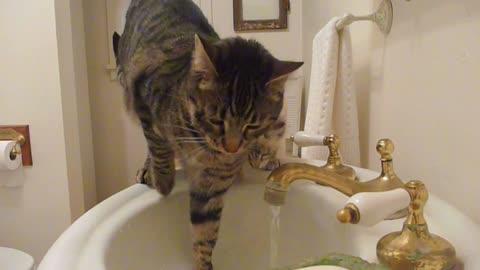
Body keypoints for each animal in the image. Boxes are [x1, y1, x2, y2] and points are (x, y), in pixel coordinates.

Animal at [114, 1, 302, 268]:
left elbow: (206, 228)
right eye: (216, 120)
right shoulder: (143, 95)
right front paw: (163, 180)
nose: (232, 148)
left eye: (252, 125)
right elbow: (158, 146)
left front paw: (203, 262)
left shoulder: (213, 182)